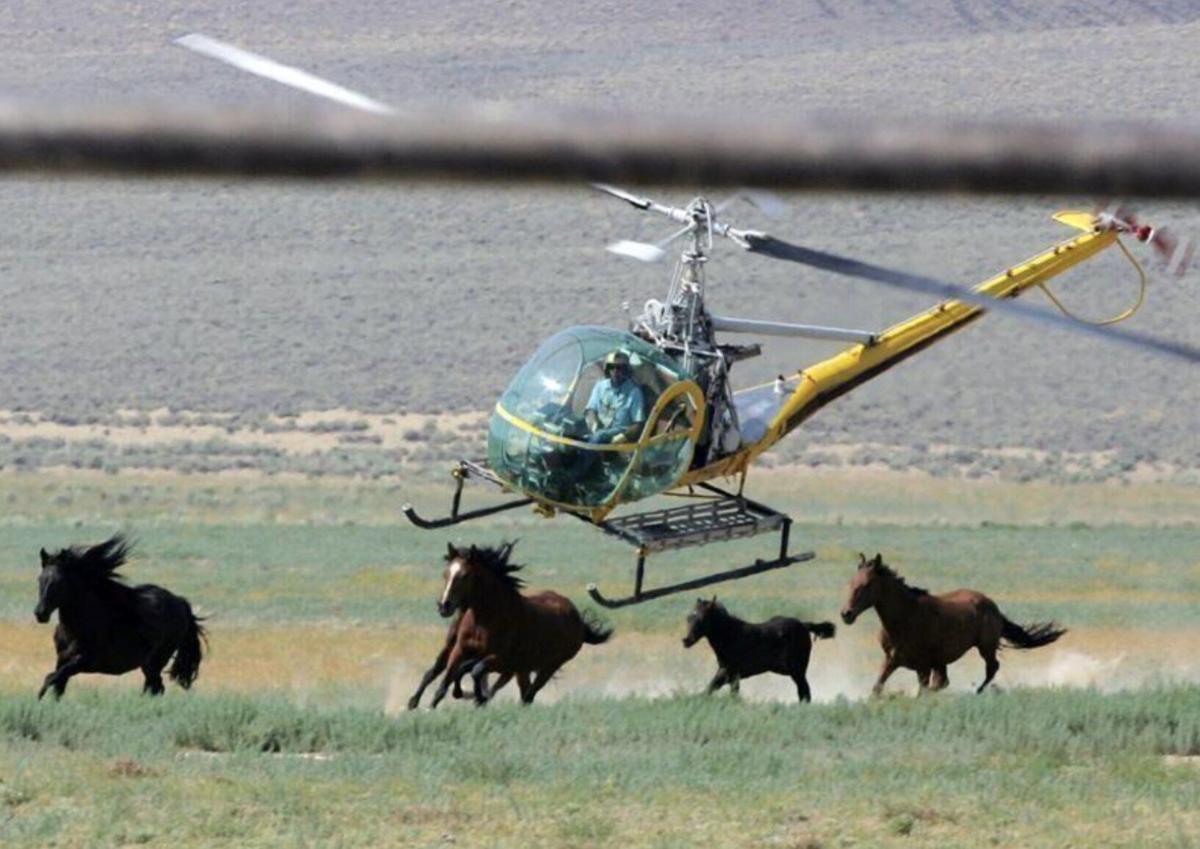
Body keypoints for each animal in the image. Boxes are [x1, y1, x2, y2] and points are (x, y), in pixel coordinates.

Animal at [34, 534, 207, 699]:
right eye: (40, 579)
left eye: (60, 582)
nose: (40, 613)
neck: (77, 627)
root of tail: (180, 602)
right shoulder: (62, 659)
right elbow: (57, 688)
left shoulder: (84, 661)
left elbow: (50, 678)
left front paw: (39, 698)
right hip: (148, 664)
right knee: (155, 687)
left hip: (157, 660)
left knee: (155, 687)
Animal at [430, 541, 613, 706]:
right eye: (445, 574)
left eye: (464, 576)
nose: (444, 606)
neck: (483, 621)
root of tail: (578, 620)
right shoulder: (460, 650)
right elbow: (445, 684)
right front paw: (436, 704)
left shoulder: (501, 659)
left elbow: (476, 671)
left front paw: (477, 696)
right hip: (522, 669)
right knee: (524, 693)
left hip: (549, 666)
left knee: (528, 695)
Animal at [682, 597, 835, 703]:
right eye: (689, 617)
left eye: (702, 619)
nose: (686, 640)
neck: (731, 636)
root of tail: (804, 625)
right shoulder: (732, 675)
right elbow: (724, 691)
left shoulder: (729, 671)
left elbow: (710, 688)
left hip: (797, 670)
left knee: (805, 691)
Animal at [840, 553, 1066, 695]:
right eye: (851, 583)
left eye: (867, 585)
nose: (846, 614)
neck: (905, 618)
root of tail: (992, 606)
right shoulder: (891, 660)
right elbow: (876, 688)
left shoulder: (923, 666)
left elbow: (923, 691)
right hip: (943, 661)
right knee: (946, 681)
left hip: (985, 647)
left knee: (992, 668)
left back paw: (977, 691)